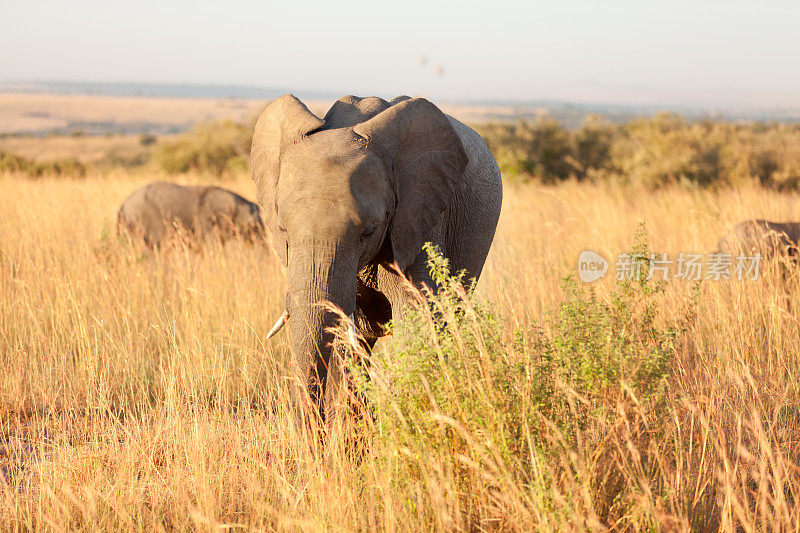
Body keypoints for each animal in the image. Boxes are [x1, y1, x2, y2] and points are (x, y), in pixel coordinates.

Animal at [250, 94, 504, 420]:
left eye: (369, 231)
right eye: (283, 230)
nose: (314, 430)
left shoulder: (421, 219)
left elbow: (418, 319)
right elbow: (346, 338)